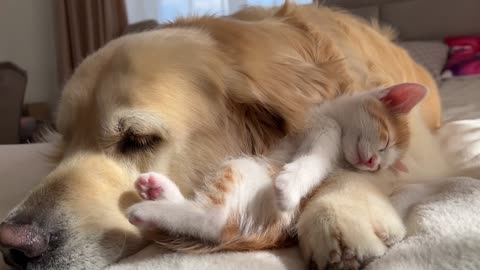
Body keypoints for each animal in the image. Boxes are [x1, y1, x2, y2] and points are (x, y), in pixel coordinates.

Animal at [126, 83, 428, 252]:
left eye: (380, 166)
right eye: (385, 141)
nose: (373, 163)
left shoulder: (325, 138)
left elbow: (315, 159)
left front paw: (288, 187)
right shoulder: (318, 124)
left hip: (243, 169)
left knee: (214, 221)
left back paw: (147, 210)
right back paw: (157, 190)